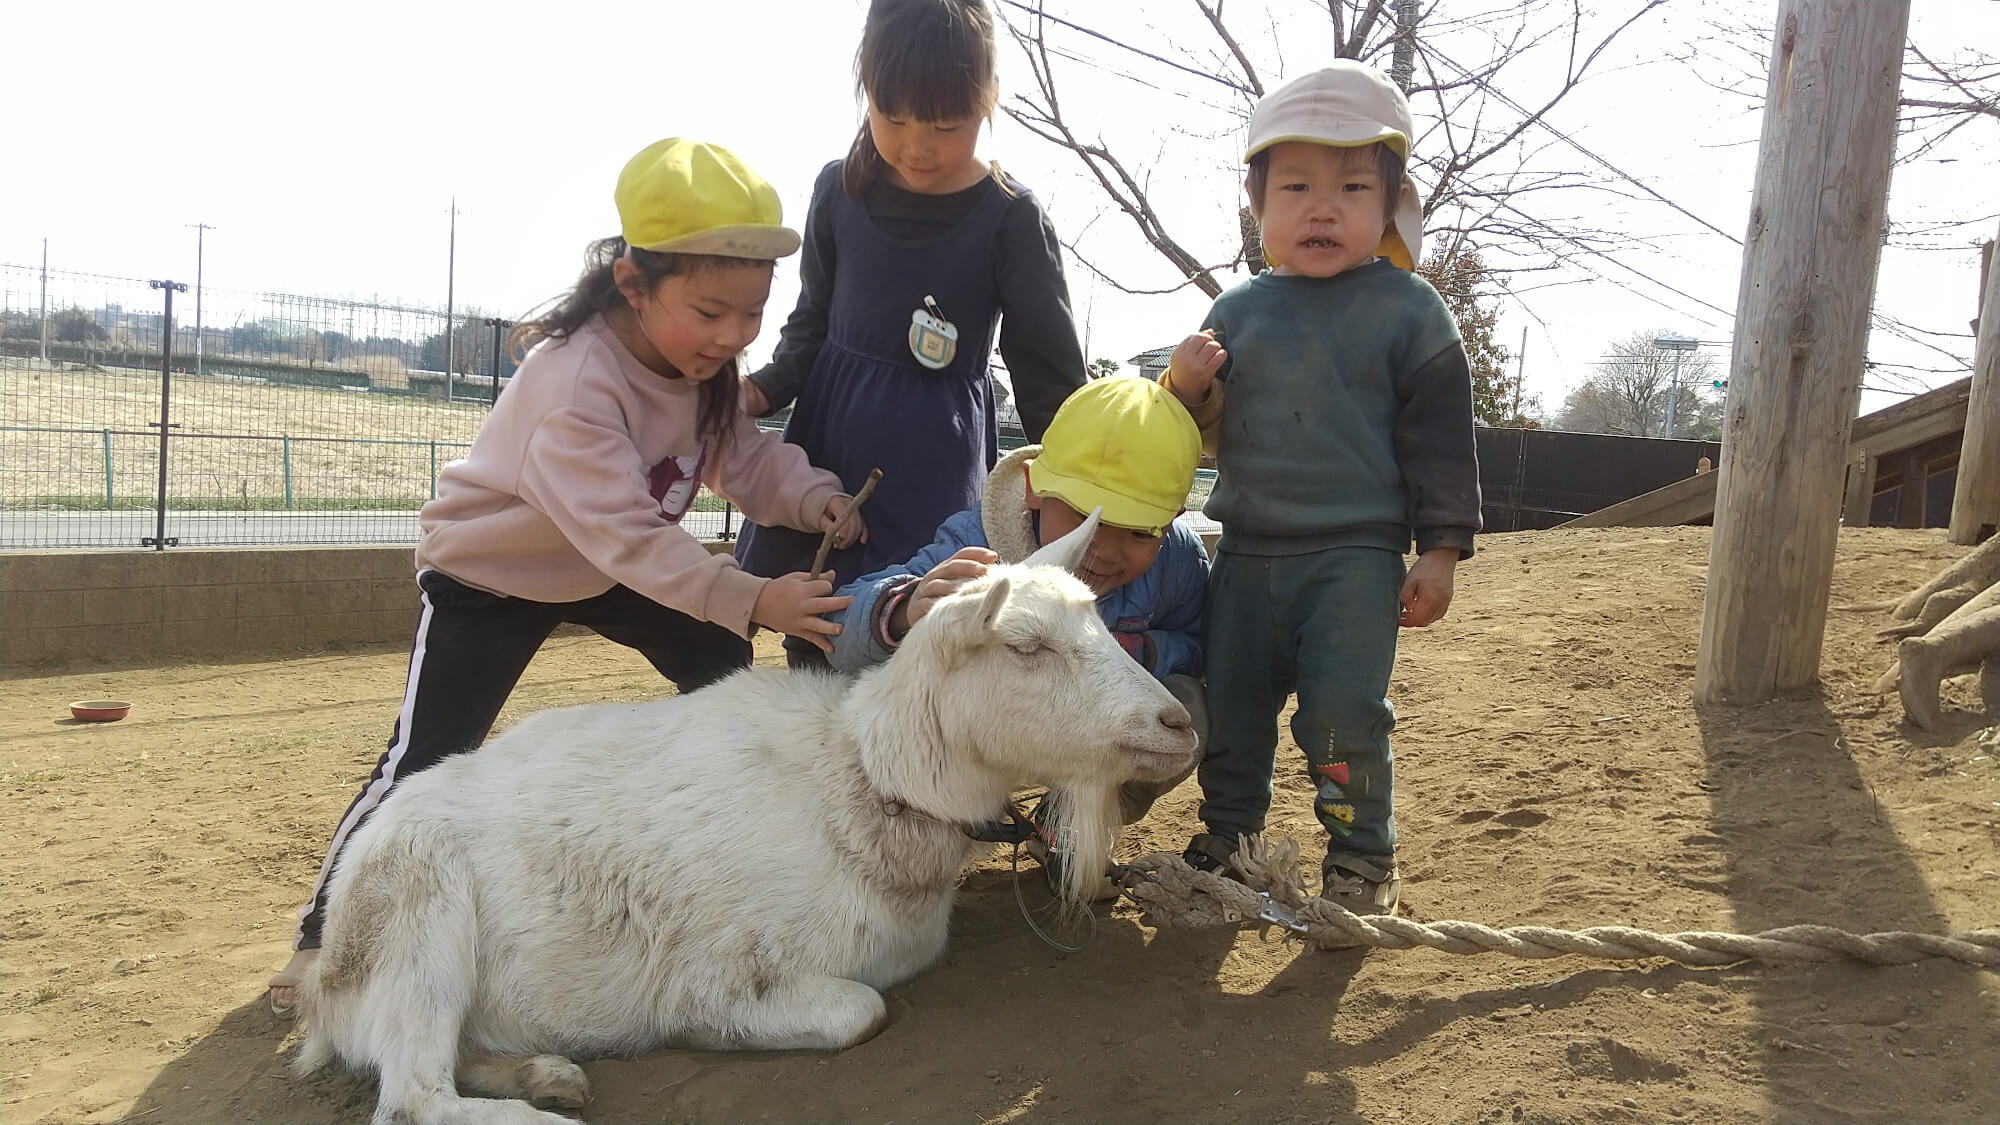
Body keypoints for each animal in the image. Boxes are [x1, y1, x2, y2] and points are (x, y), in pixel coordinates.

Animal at [292, 516, 1192, 1120]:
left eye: (1102, 619)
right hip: (419, 919)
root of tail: (329, 984)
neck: (856, 784)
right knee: (410, 1097)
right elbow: (859, 1010)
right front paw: (708, 1037)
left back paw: (548, 1073)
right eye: (1027, 647)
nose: (1179, 723)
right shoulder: (718, 971)